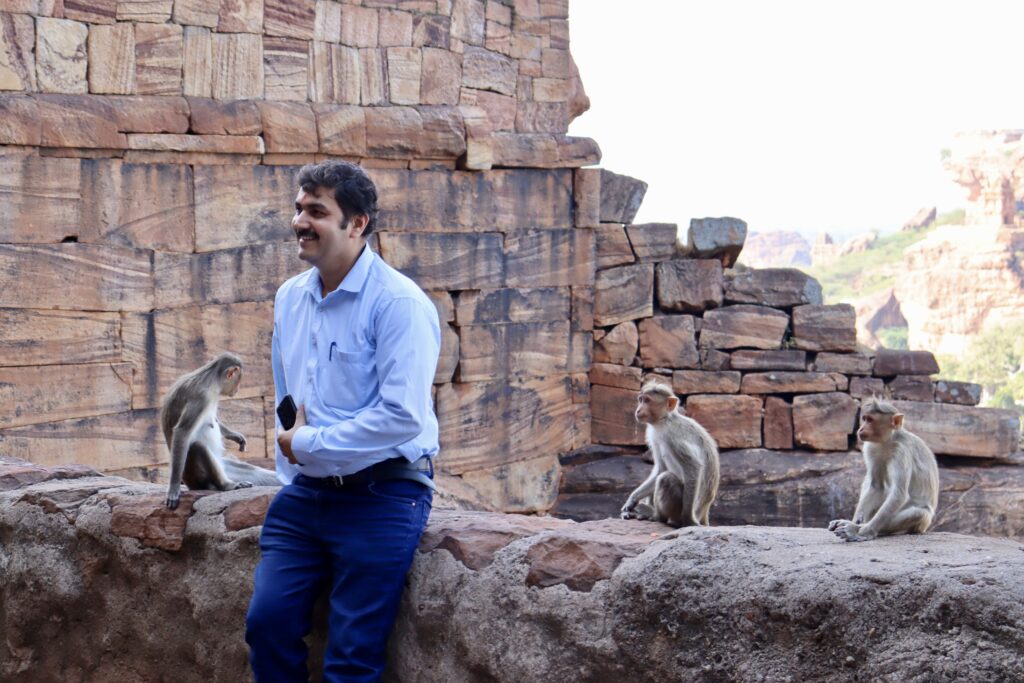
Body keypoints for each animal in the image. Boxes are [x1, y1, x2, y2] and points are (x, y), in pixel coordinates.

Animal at [156, 352, 278, 507]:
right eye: (238, 381)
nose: (237, 389)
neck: (209, 378)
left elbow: (215, 421)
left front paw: (236, 436)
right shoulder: (201, 397)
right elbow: (182, 432)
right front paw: (173, 487)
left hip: (222, 464)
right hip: (197, 476)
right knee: (198, 447)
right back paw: (227, 485)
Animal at [614, 382, 720, 528]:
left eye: (647, 401)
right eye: (641, 400)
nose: (638, 410)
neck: (664, 421)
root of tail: (704, 511)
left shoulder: (673, 436)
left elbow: (693, 467)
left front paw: (688, 520)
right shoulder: (655, 435)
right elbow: (660, 468)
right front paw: (631, 500)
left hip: (679, 509)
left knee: (666, 479)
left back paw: (657, 516)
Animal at [827, 397, 937, 540]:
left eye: (870, 420)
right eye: (864, 418)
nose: (861, 429)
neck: (888, 441)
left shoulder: (902, 452)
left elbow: (898, 494)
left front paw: (861, 531)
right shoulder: (871, 447)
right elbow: (876, 486)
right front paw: (855, 522)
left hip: (923, 524)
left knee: (919, 513)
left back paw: (859, 528)